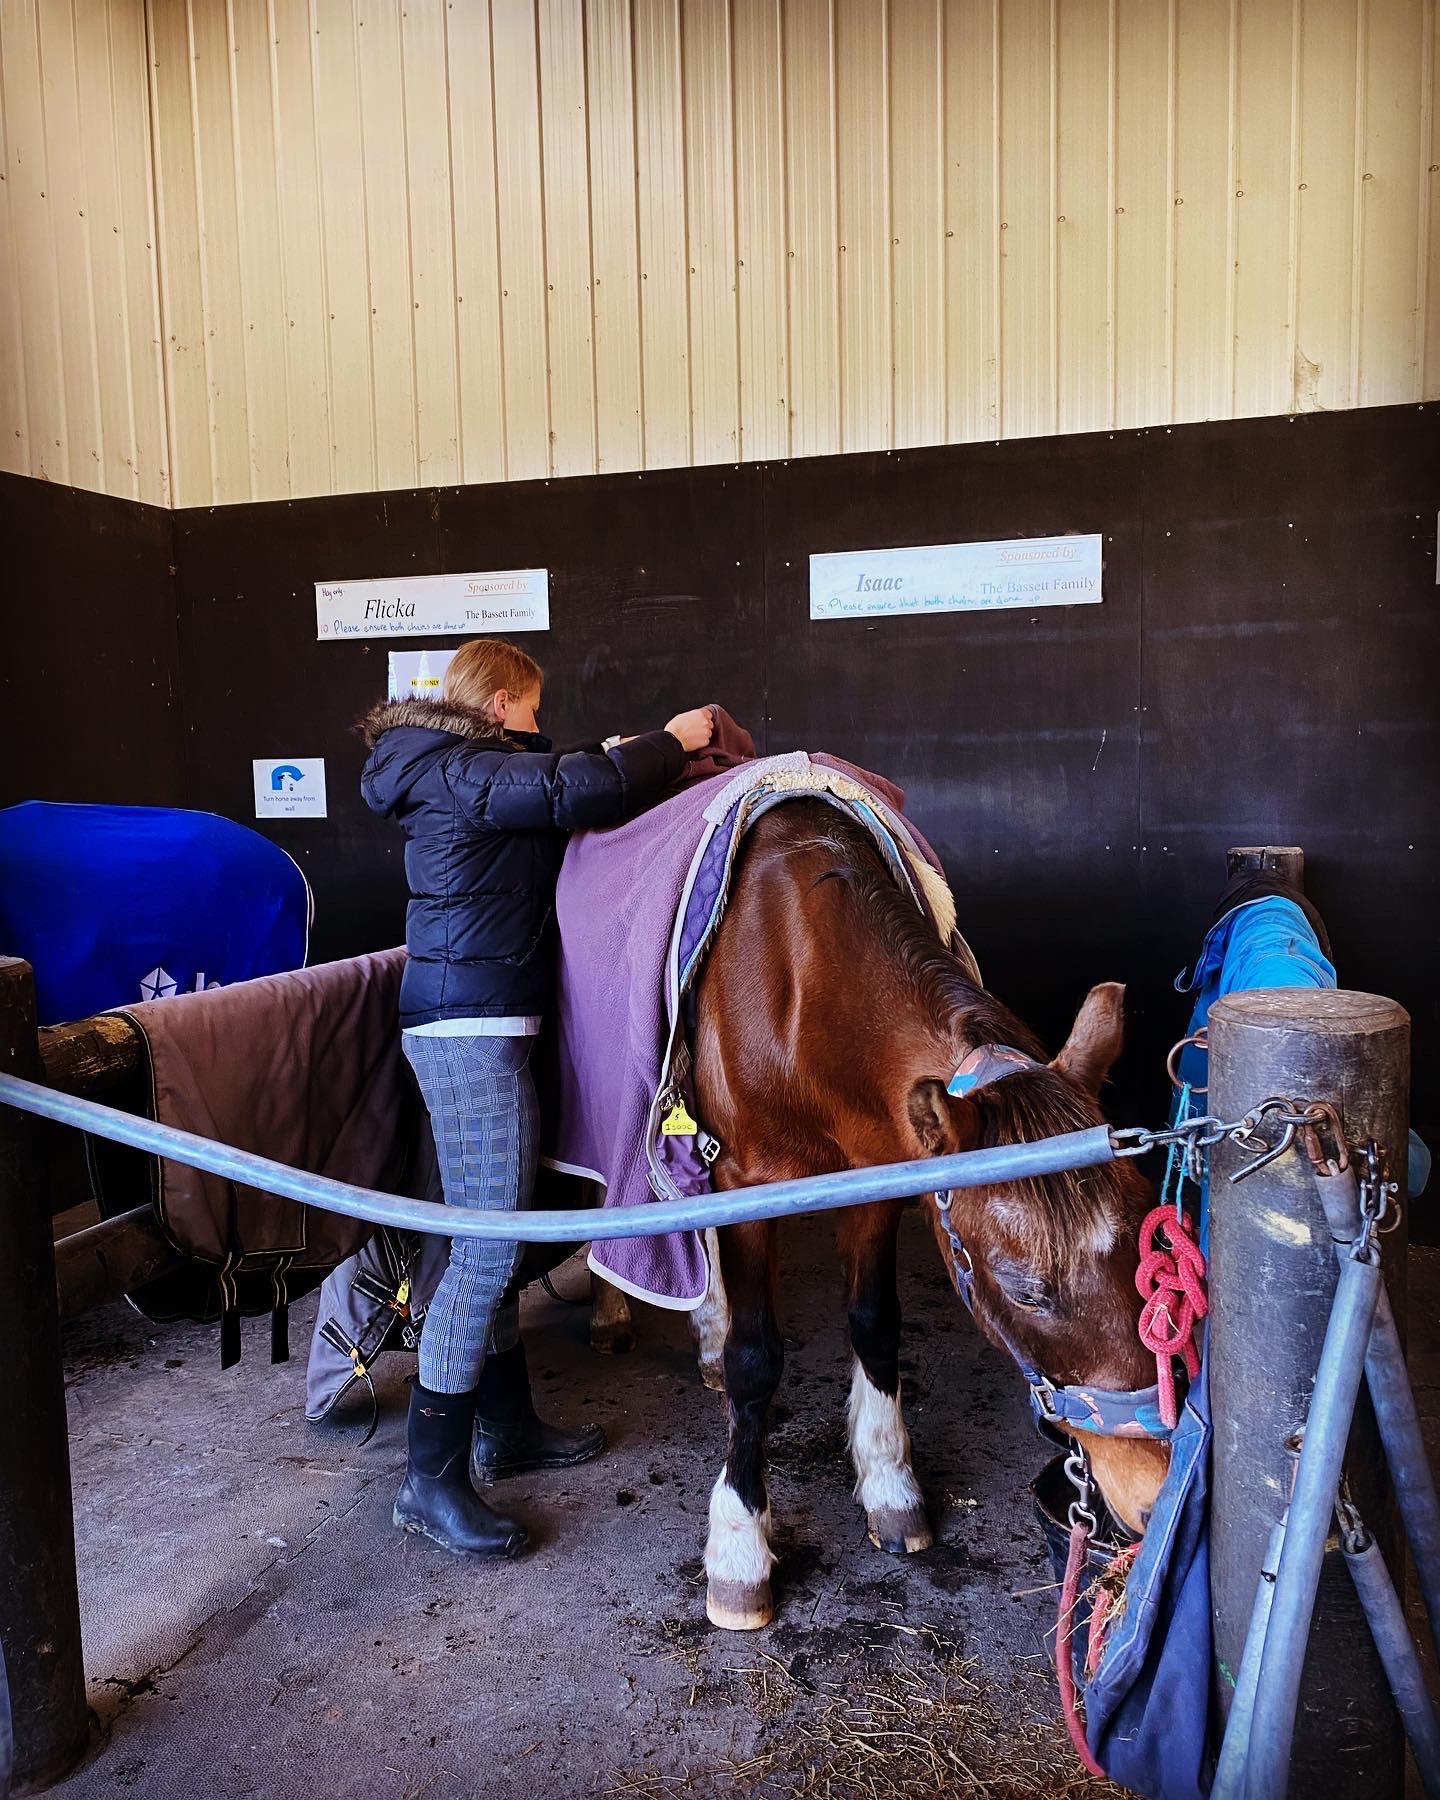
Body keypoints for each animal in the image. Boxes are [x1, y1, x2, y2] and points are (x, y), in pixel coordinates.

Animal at [680, 802, 1166, 1634]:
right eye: (1024, 1287)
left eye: (1141, 1245)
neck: (800, 983)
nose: (1155, 1489)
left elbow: (876, 1324)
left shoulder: (885, 1176)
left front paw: (890, 1484)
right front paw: (740, 1549)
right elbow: (755, 1360)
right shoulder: (745, 1182)